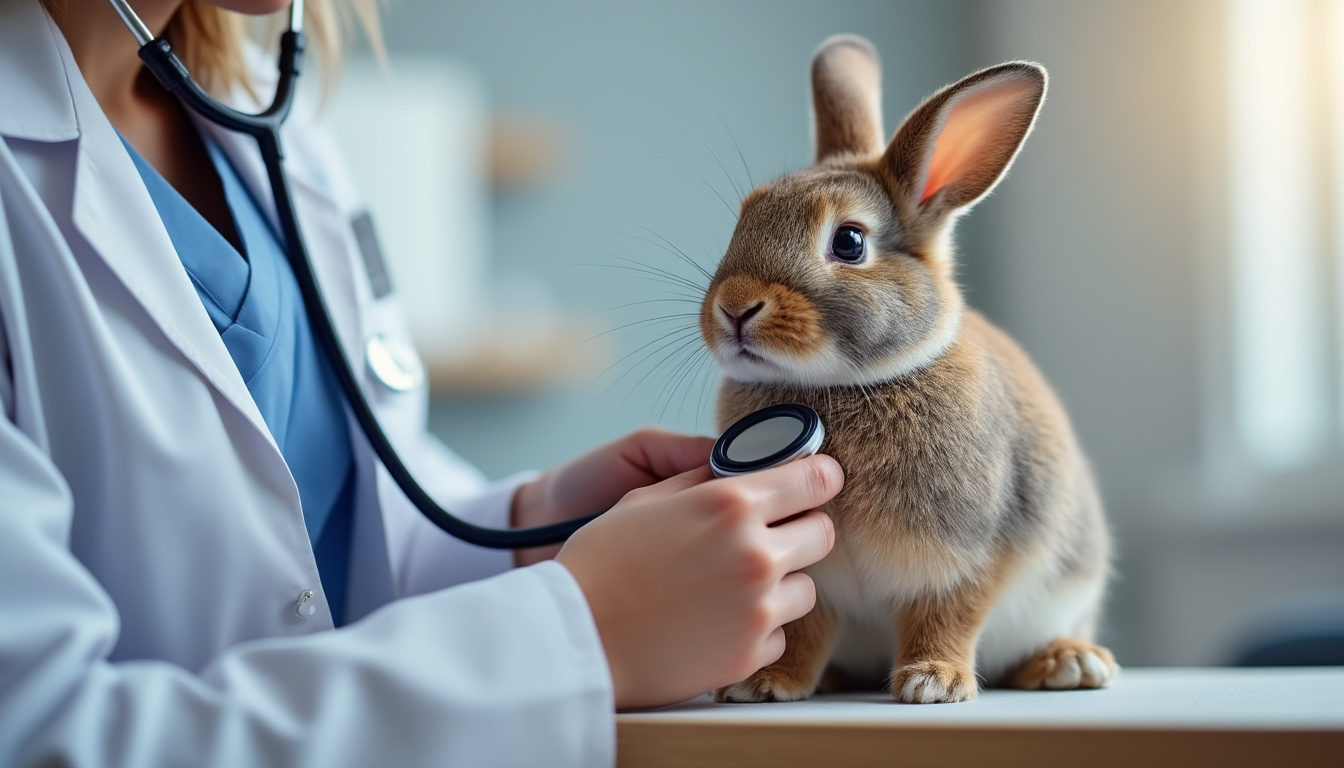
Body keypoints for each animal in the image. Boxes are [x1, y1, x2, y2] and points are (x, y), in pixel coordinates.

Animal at [700, 35, 1117, 704]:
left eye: (848, 242)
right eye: (746, 217)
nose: (734, 307)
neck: (846, 385)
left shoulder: (967, 555)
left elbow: (947, 614)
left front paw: (932, 683)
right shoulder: (813, 577)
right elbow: (804, 628)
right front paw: (764, 683)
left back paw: (1069, 663)